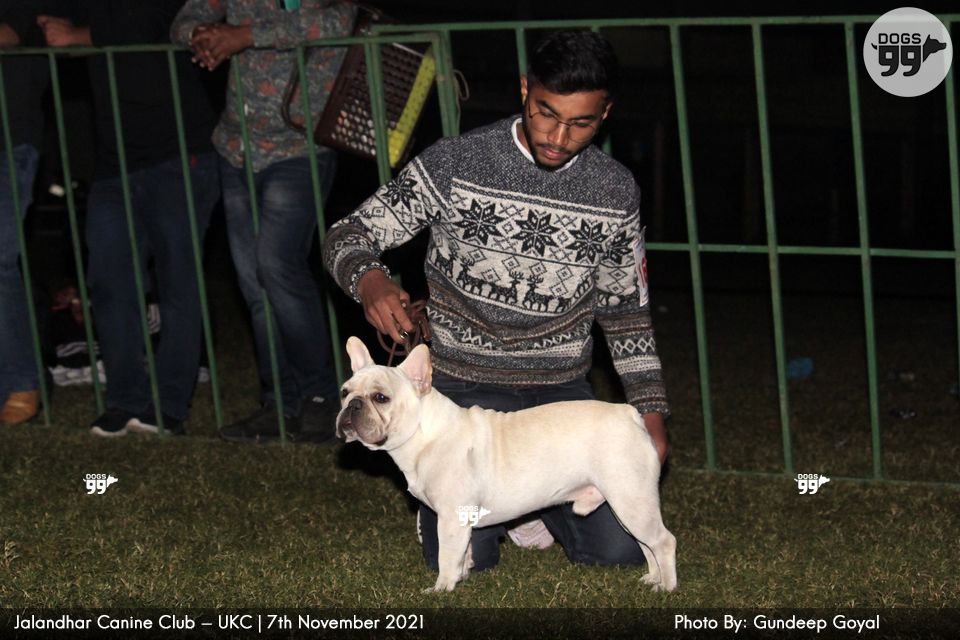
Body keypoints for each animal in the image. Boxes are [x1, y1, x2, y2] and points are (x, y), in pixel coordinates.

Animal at [336, 336, 677, 593]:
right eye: (344, 392)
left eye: (381, 398)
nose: (352, 406)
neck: (423, 433)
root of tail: (630, 415)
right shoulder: (460, 521)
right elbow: (463, 552)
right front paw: (461, 577)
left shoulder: (451, 518)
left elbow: (447, 555)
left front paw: (441, 589)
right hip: (627, 505)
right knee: (645, 544)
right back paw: (653, 579)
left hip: (630, 499)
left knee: (662, 541)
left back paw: (667, 587)